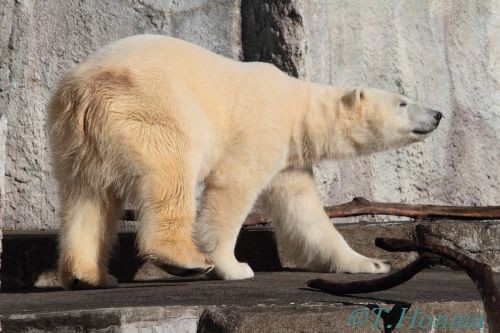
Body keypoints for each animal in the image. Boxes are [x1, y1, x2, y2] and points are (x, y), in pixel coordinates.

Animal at [47, 34, 442, 288]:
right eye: (403, 101)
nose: (438, 114)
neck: (297, 105)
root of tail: (83, 92)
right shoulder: (262, 126)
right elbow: (233, 186)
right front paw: (233, 266)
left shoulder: (289, 159)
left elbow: (303, 213)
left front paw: (369, 262)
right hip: (148, 110)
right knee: (169, 174)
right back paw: (186, 260)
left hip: (75, 140)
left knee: (86, 198)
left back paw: (88, 275)